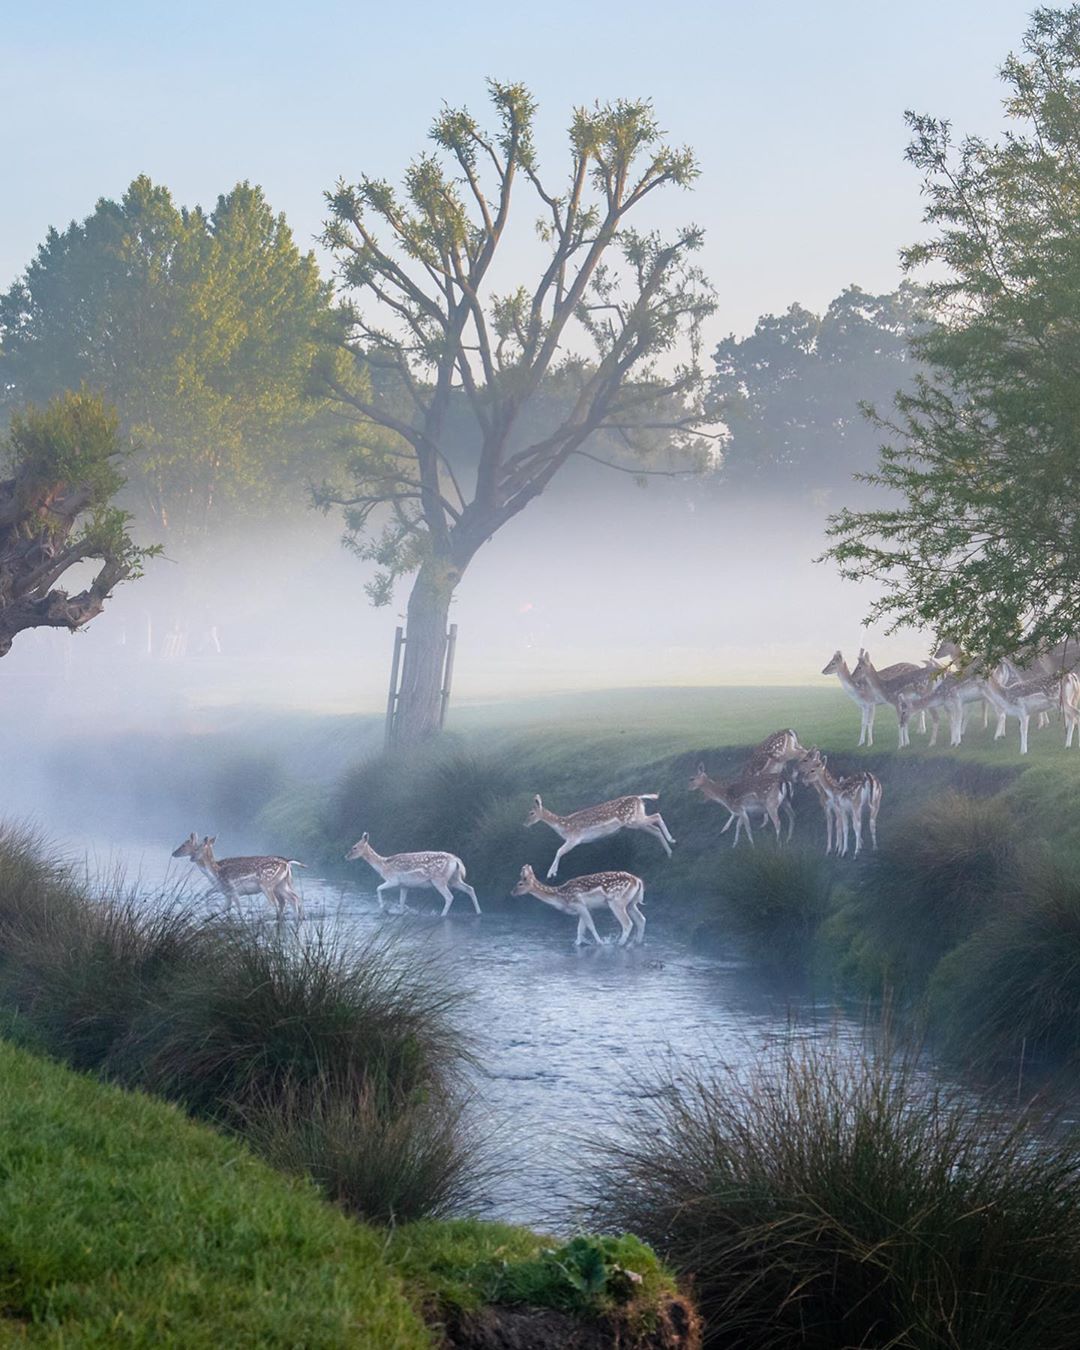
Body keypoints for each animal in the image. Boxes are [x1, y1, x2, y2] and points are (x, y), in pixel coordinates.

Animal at [170, 831, 303, 918]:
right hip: (282, 884)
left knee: (275, 903)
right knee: (294, 898)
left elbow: (238, 910)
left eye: (184, 845)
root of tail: (287, 862)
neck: (215, 873)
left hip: (267, 884)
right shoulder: (225, 892)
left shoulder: (232, 890)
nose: (173, 853)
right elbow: (221, 907)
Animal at [345, 831, 480, 918]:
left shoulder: (393, 879)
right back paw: (479, 912)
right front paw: (398, 913)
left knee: (449, 896)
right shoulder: (404, 885)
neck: (383, 865)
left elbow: (378, 888)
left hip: (439, 879)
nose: (346, 856)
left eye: (354, 847)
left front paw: (383, 909)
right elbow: (401, 901)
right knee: (470, 888)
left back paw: (442, 915)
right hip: (454, 878)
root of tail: (457, 861)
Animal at [510, 864, 645, 950]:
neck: (561, 897)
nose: (512, 892)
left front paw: (601, 943)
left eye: (520, 883)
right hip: (631, 903)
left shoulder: (579, 904)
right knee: (641, 919)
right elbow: (580, 930)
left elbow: (590, 926)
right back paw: (636, 943)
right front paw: (576, 944)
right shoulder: (584, 908)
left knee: (627, 923)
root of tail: (638, 881)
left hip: (616, 901)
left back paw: (620, 944)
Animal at [523, 788, 675, 874]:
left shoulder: (574, 838)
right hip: (636, 820)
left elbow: (559, 851)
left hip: (633, 820)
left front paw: (551, 873)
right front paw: (552, 872)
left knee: (657, 816)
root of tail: (639, 798)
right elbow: (560, 851)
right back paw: (669, 852)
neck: (563, 826)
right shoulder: (573, 839)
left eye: (531, 813)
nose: (525, 824)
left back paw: (672, 840)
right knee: (655, 829)